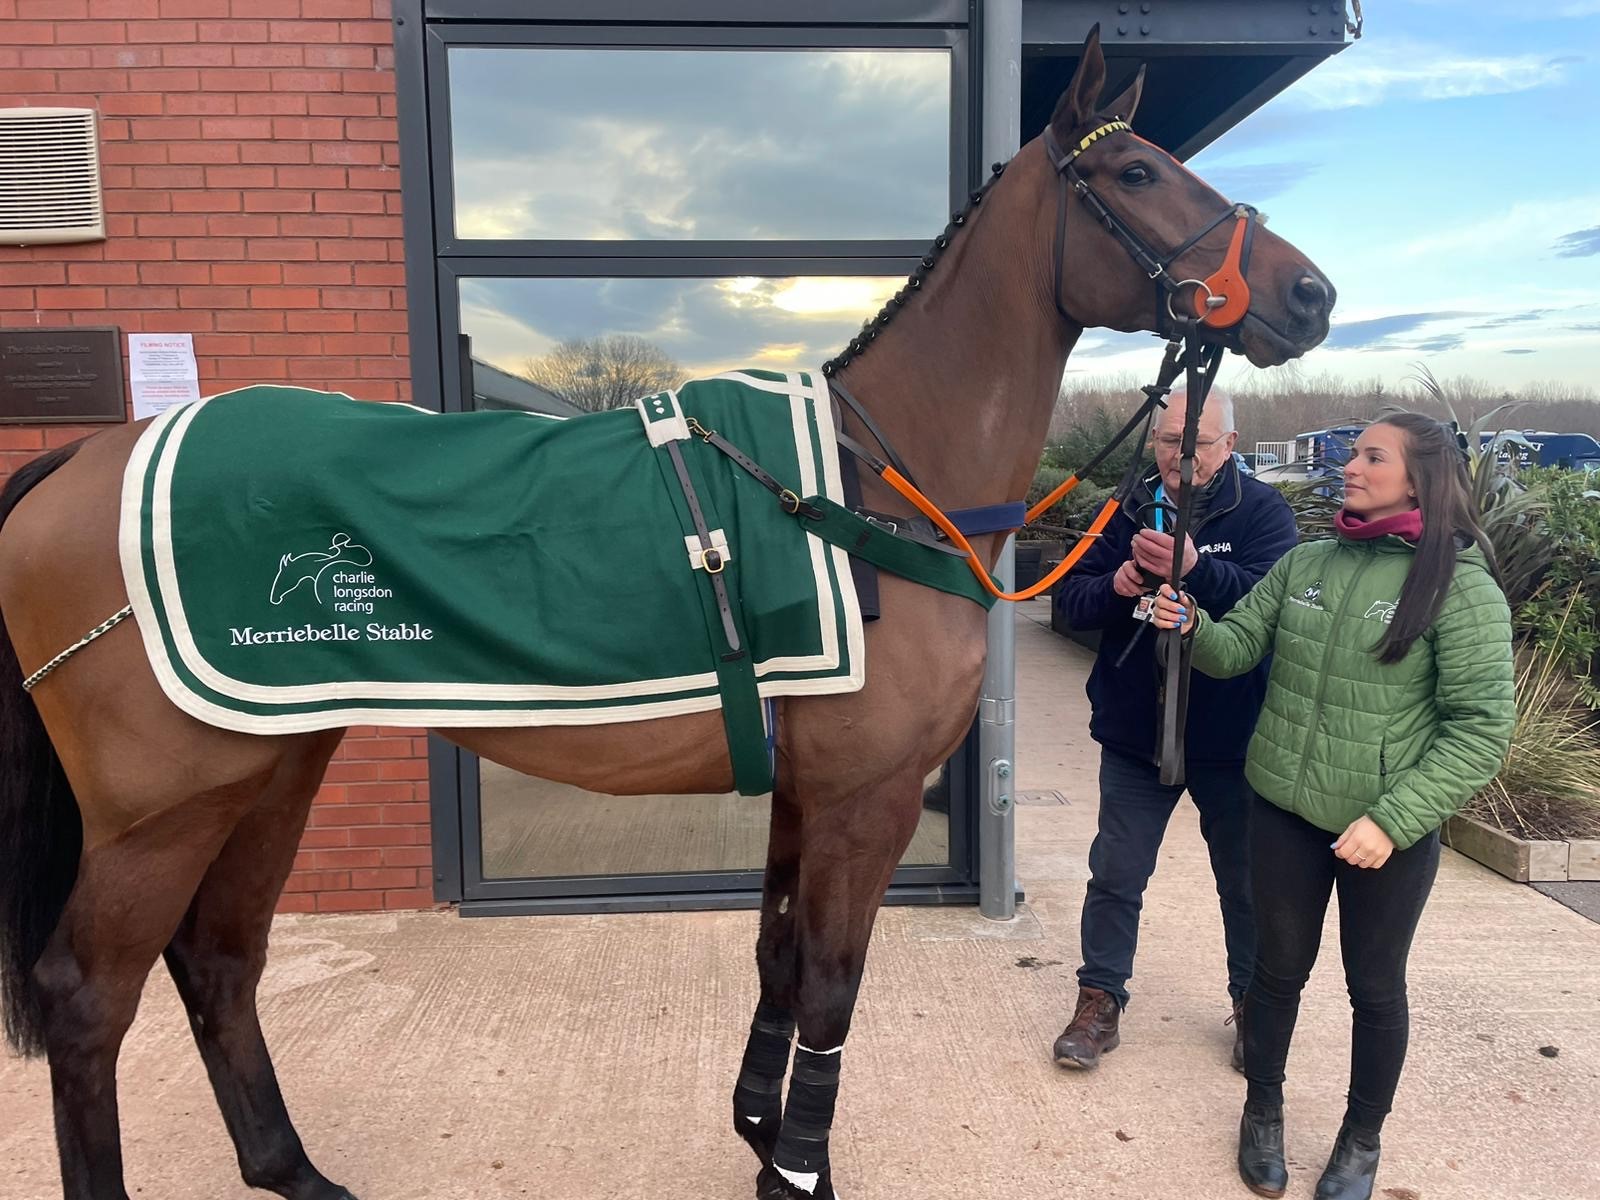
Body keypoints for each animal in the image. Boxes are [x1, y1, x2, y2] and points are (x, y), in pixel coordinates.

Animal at [0, 28, 1337, 1200]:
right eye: (1135, 171)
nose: (1311, 294)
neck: (868, 489)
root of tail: (82, 460)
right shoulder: (866, 797)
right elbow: (833, 984)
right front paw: (798, 1170)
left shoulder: (805, 792)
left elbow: (779, 959)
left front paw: (757, 1135)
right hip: (168, 808)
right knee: (89, 1000)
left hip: (274, 767)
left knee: (220, 960)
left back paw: (295, 1170)